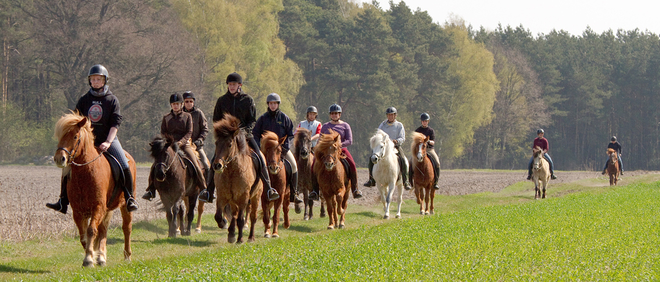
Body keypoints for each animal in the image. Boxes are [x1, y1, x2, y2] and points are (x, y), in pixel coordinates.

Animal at [52, 112, 134, 266]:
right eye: (60, 136)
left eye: (75, 137)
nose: (60, 159)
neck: (85, 173)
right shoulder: (78, 211)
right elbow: (83, 235)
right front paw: (91, 255)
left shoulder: (98, 207)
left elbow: (91, 231)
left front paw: (89, 259)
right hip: (106, 209)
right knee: (103, 230)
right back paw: (101, 257)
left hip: (124, 206)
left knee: (126, 228)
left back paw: (127, 256)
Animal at [211, 115, 262, 245]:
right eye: (216, 143)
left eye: (229, 144)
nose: (217, 165)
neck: (232, 172)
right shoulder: (222, 195)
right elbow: (218, 216)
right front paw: (224, 224)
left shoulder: (244, 197)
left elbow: (241, 219)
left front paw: (240, 239)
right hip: (234, 201)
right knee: (234, 214)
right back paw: (232, 234)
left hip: (255, 197)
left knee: (252, 216)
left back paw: (250, 237)